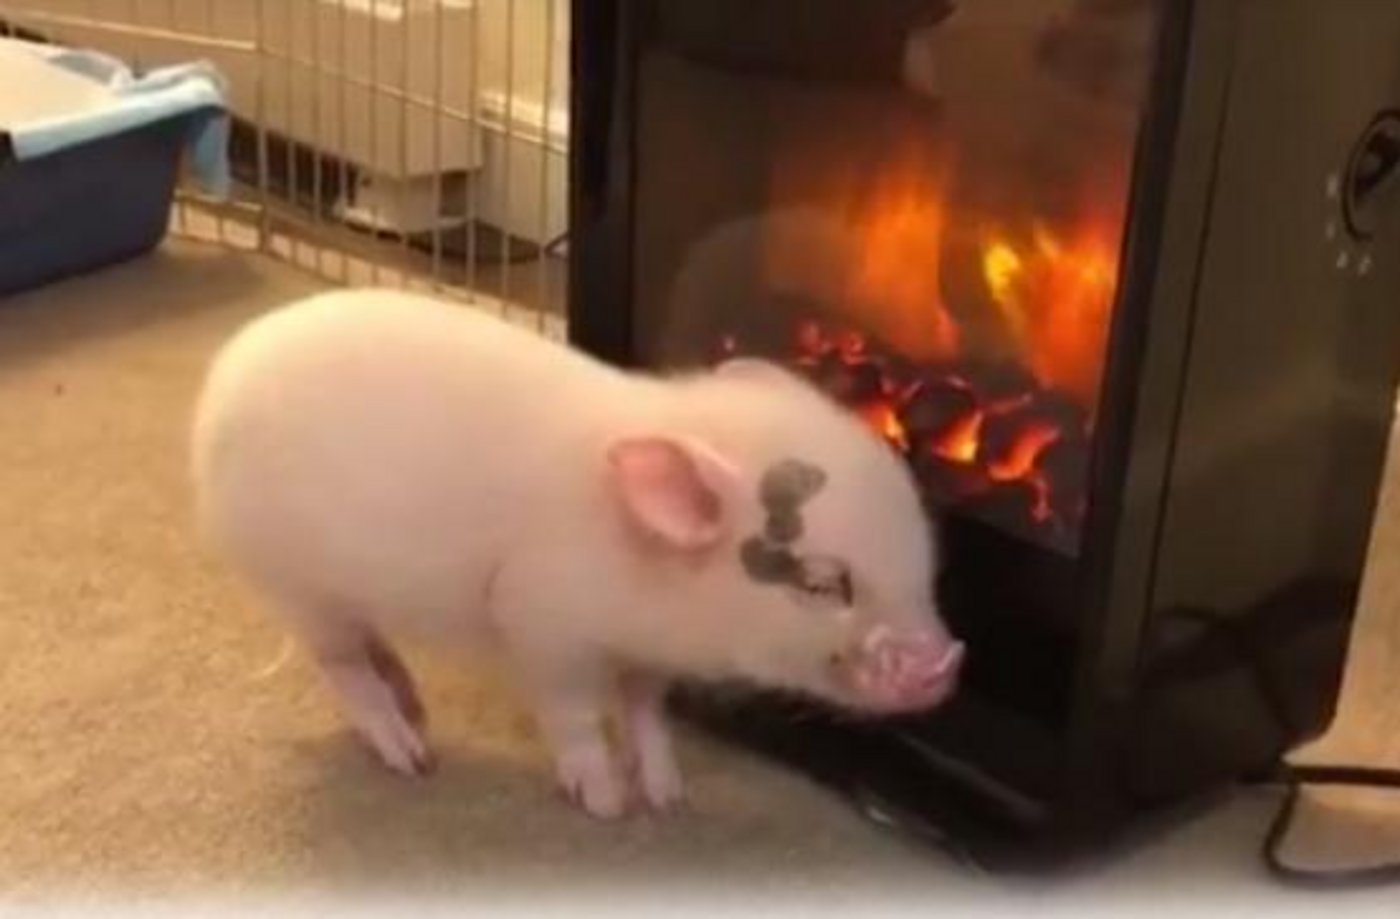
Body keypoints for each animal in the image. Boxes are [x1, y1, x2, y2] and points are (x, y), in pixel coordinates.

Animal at [189, 288, 964, 818]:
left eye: (923, 563)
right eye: (824, 584)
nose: (945, 662)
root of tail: (222, 377)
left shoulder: (651, 655)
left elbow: (646, 709)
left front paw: (670, 798)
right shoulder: (541, 622)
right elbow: (577, 713)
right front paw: (608, 803)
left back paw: (416, 708)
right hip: (295, 585)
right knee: (343, 664)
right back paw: (413, 756)